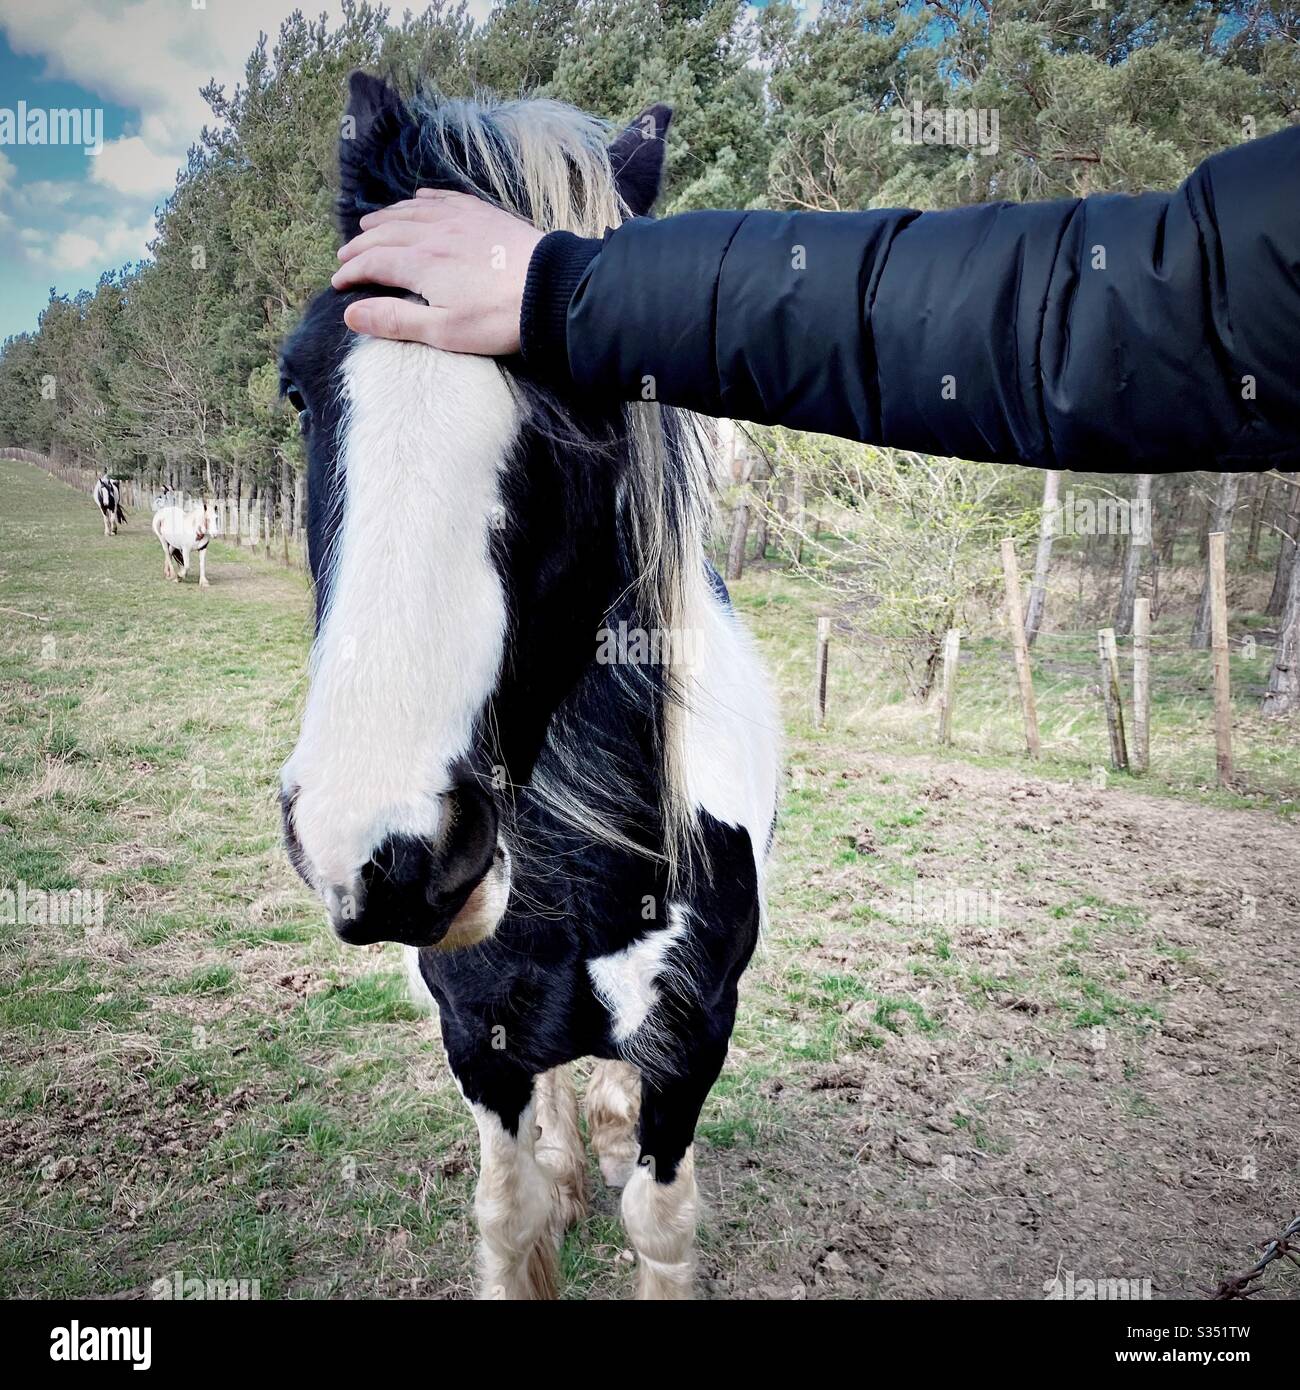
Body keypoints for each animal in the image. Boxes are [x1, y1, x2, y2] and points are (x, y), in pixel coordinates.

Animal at [278, 73, 779, 1300]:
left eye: (591, 393)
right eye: (299, 390)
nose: (381, 848)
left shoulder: (693, 1042)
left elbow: (661, 1221)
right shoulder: (477, 1034)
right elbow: (509, 1218)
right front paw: (547, 1186)